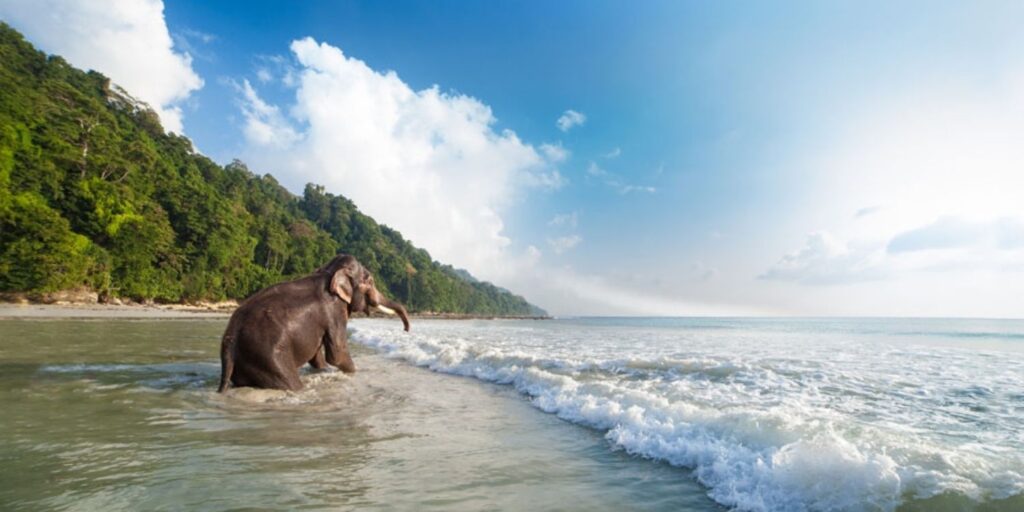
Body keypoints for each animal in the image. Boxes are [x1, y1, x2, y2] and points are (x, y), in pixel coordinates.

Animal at [217, 254, 410, 392]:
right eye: (370, 281)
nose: (406, 330)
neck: (329, 271)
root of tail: (230, 341)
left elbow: (317, 354)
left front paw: (325, 370)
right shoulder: (334, 311)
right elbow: (337, 354)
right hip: (269, 358)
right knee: (291, 383)